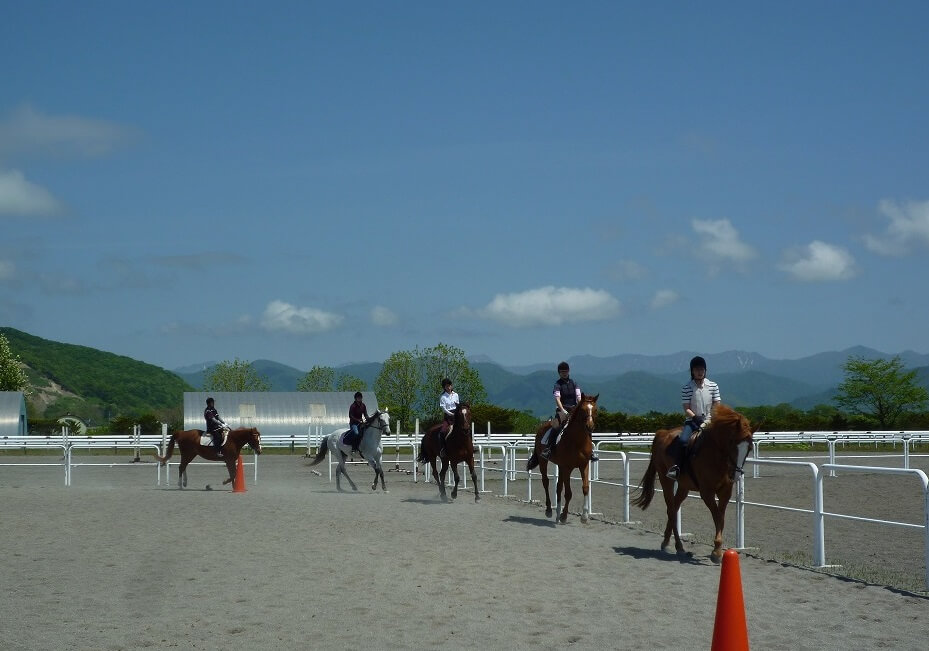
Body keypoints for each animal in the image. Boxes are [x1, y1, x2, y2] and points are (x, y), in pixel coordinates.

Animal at [524, 392, 600, 524]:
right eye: (583, 410)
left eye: (595, 410)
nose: (590, 426)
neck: (577, 441)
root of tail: (543, 426)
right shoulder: (567, 467)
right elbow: (568, 493)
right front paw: (564, 516)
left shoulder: (583, 465)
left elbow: (585, 488)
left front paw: (584, 516)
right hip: (544, 462)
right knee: (546, 482)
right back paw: (549, 510)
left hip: (560, 466)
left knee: (558, 487)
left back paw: (557, 514)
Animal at [632, 404, 752, 564]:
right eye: (732, 443)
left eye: (749, 448)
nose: (736, 475)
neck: (716, 456)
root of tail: (662, 433)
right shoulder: (707, 492)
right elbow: (717, 516)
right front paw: (716, 552)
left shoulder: (725, 492)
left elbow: (721, 517)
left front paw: (717, 550)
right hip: (666, 480)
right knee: (671, 510)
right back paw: (679, 546)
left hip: (683, 486)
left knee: (674, 509)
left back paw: (667, 543)